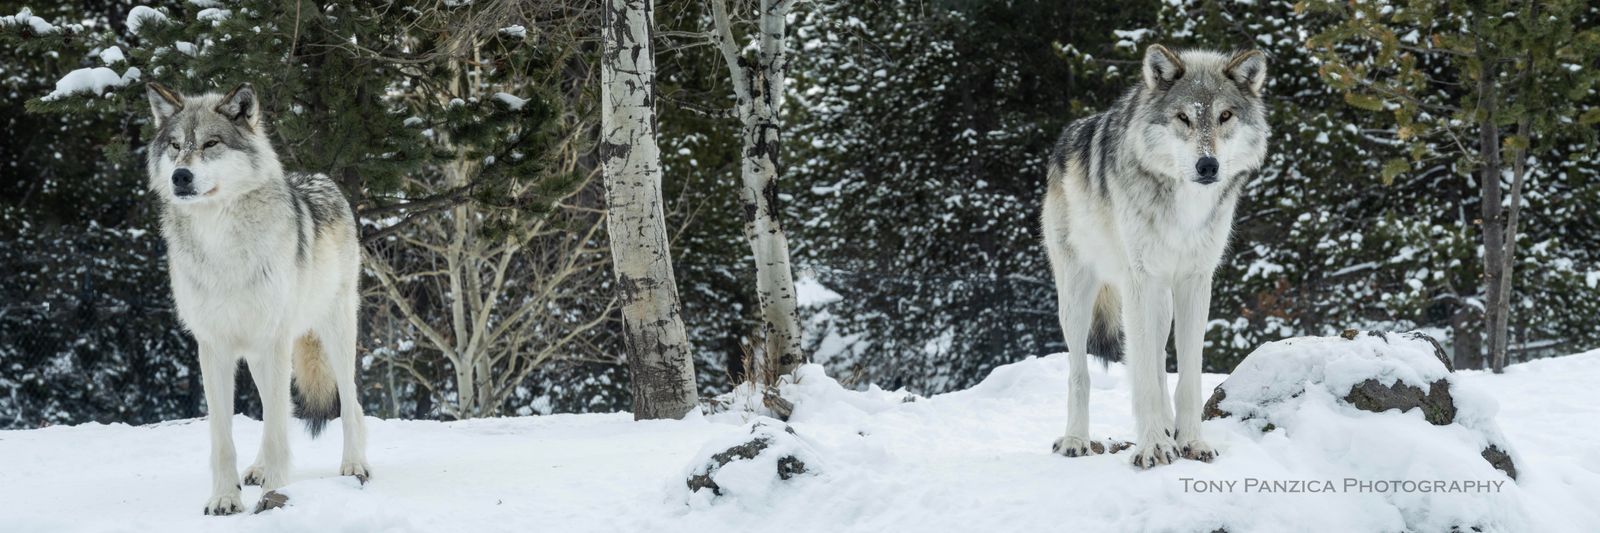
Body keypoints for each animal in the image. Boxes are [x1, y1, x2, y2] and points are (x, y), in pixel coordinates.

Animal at [146, 82, 370, 514]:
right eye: (176, 145)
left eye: (211, 143)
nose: (181, 176)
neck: (219, 241)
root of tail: (320, 176)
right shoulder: (213, 346)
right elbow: (223, 437)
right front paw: (224, 498)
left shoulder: (274, 341)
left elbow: (279, 429)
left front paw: (274, 495)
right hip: (256, 355)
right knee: (272, 408)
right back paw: (258, 469)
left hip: (332, 332)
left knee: (350, 404)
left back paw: (355, 465)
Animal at [1041, 45, 1268, 468]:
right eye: (1183, 117)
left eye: (1225, 116)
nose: (1208, 165)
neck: (1186, 208)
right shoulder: (1139, 281)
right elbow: (1142, 377)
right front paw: (1151, 447)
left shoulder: (1195, 282)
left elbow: (1187, 376)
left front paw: (1191, 441)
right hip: (1079, 296)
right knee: (1081, 372)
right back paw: (1076, 439)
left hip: (1160, 301)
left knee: (1160, 361)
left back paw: (1166, 428)